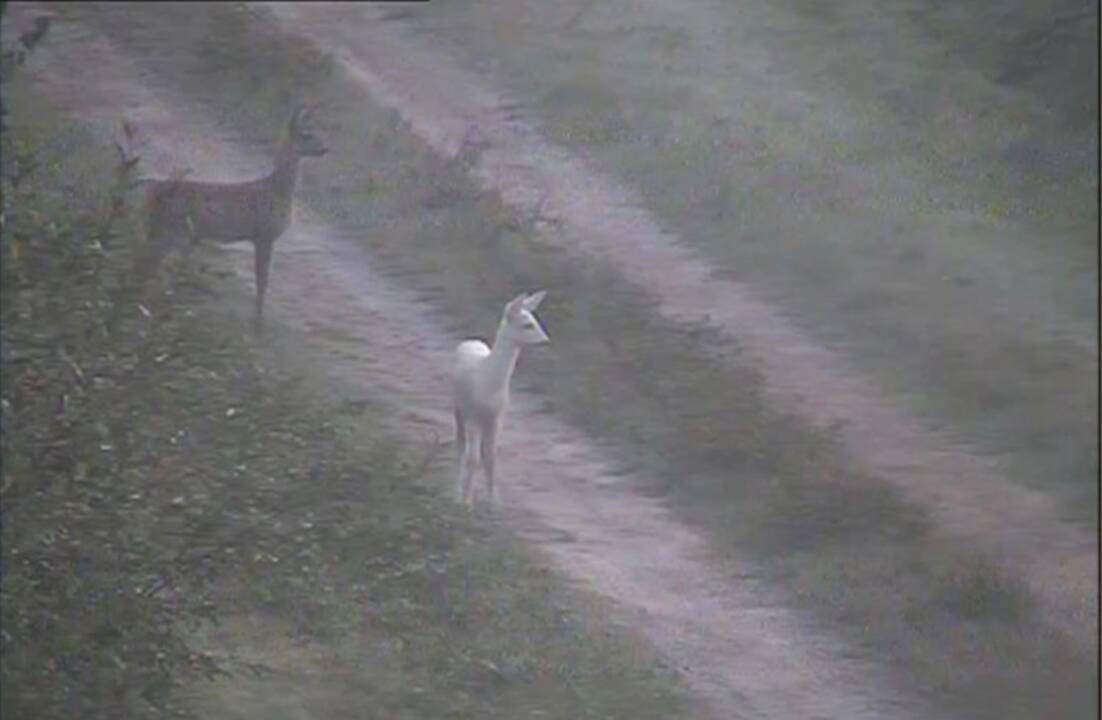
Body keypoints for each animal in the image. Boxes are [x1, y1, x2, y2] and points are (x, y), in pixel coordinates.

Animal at [134, 103, 323, 328]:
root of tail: (152, 196)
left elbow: (262, 281)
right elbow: (262, 281)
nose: (324, 149)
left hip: (168, 231)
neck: (278, 190)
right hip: (172, 230)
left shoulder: (262, 237)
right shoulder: (264, 235)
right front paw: (258, 319)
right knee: (146, 263)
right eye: (306, 135)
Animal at [449, 291, 548, 504]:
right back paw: (456, 492)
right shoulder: (473, 416)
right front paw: (466, 502)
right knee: (461, 446)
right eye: (527, 324)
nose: (546, 340)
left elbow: (491, 458)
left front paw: (493, 501)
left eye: (535, 319)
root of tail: (471, 341)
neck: (489, 381)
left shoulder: (497, 418)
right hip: (458, 408)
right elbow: (473, 459)